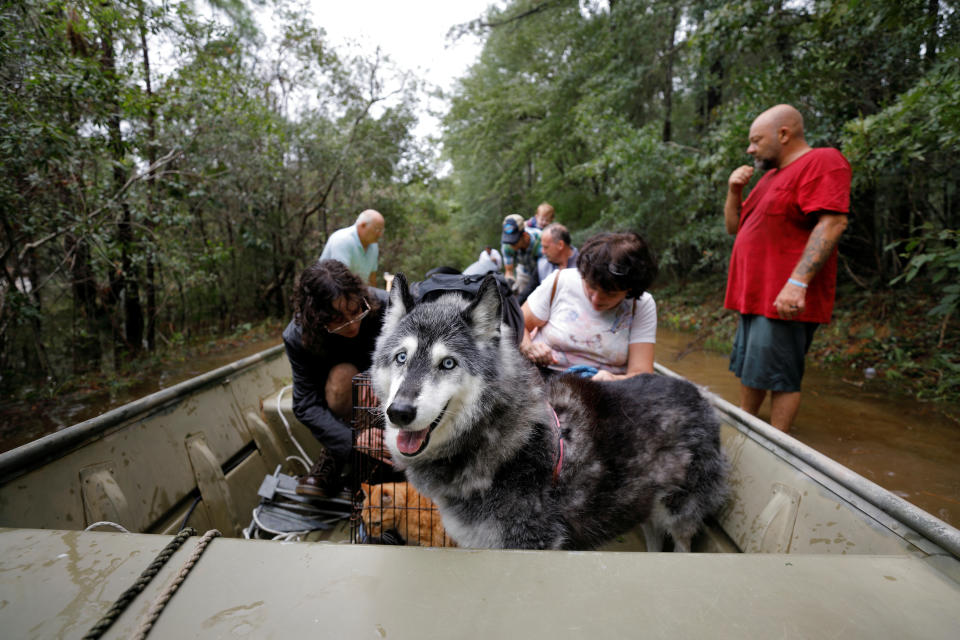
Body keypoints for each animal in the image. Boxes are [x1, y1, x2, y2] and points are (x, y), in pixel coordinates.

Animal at [376, 276, 728, 552]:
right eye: (401, 358)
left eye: (448, 363)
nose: (399, 412)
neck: (501, 440)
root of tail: (700, 393)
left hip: (678, 515)